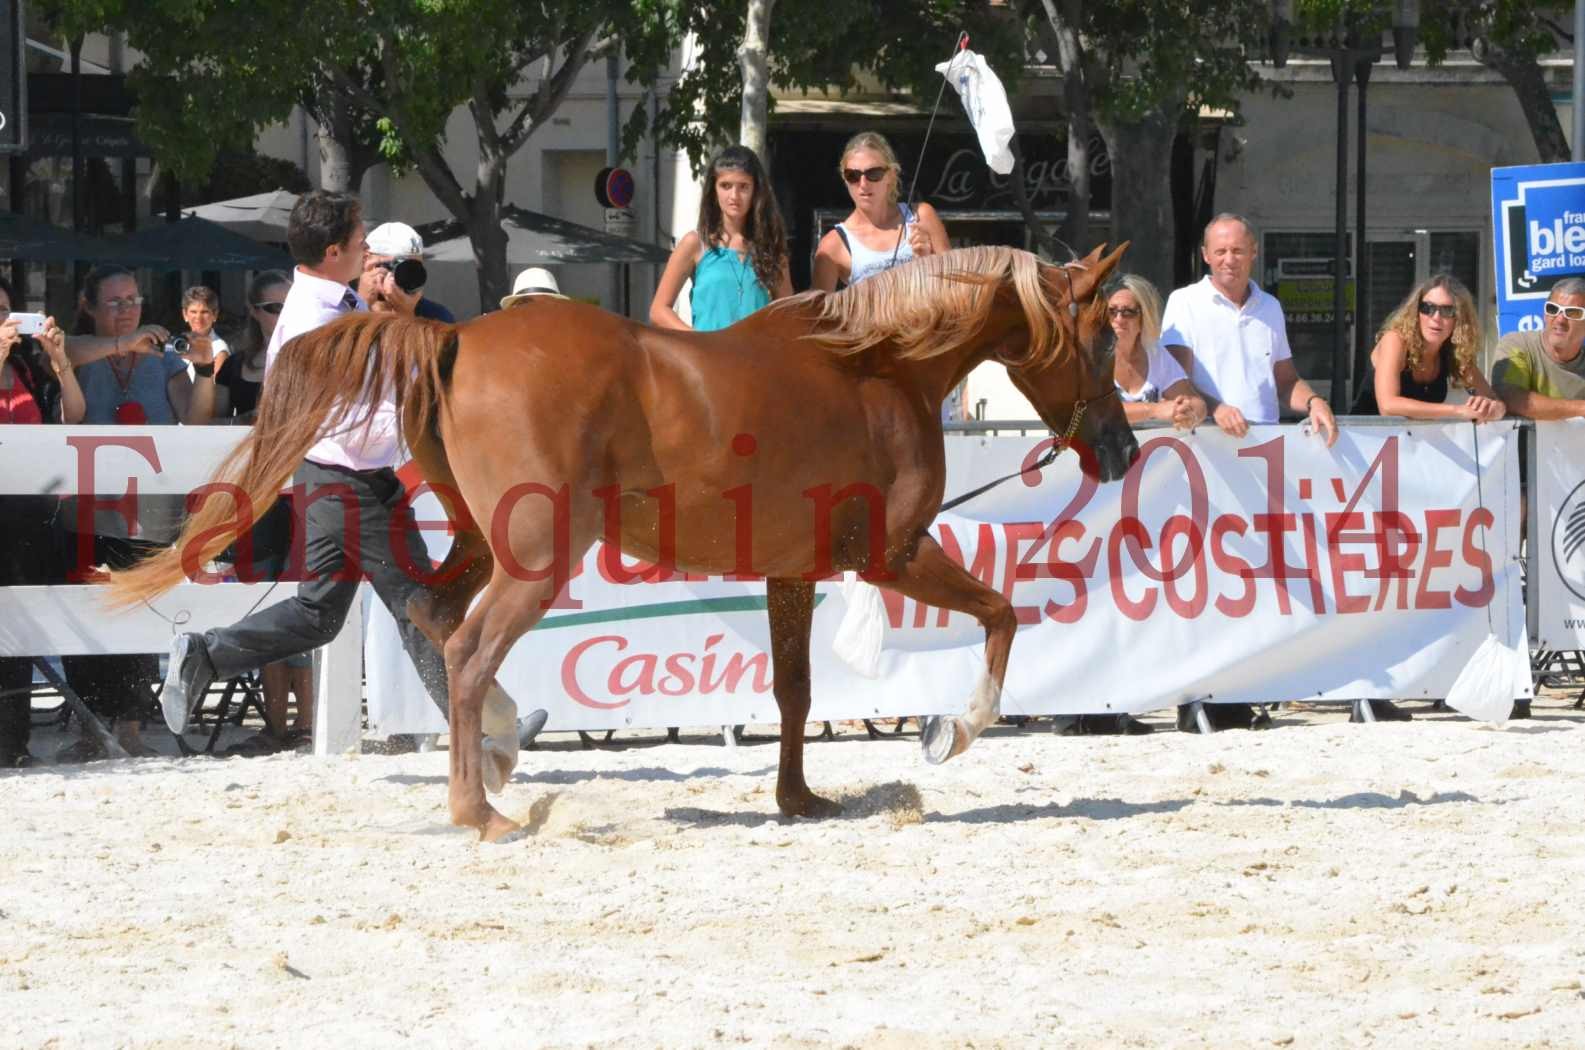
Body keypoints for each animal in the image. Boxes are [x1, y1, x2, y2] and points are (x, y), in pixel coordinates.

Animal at [117, 242, 1147, 843]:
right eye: (1102, 338)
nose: (1122, 448)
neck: (878, 368)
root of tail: (455, 343)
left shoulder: (791, 572)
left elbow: (794, 691)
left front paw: (799, 801)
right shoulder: (893, 555)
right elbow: (1002, 615)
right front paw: (948, 733)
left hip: (483, 543)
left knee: (437, 623)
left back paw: (498, 756)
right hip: (537, 559)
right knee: (467, 647)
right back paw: (481, 811)